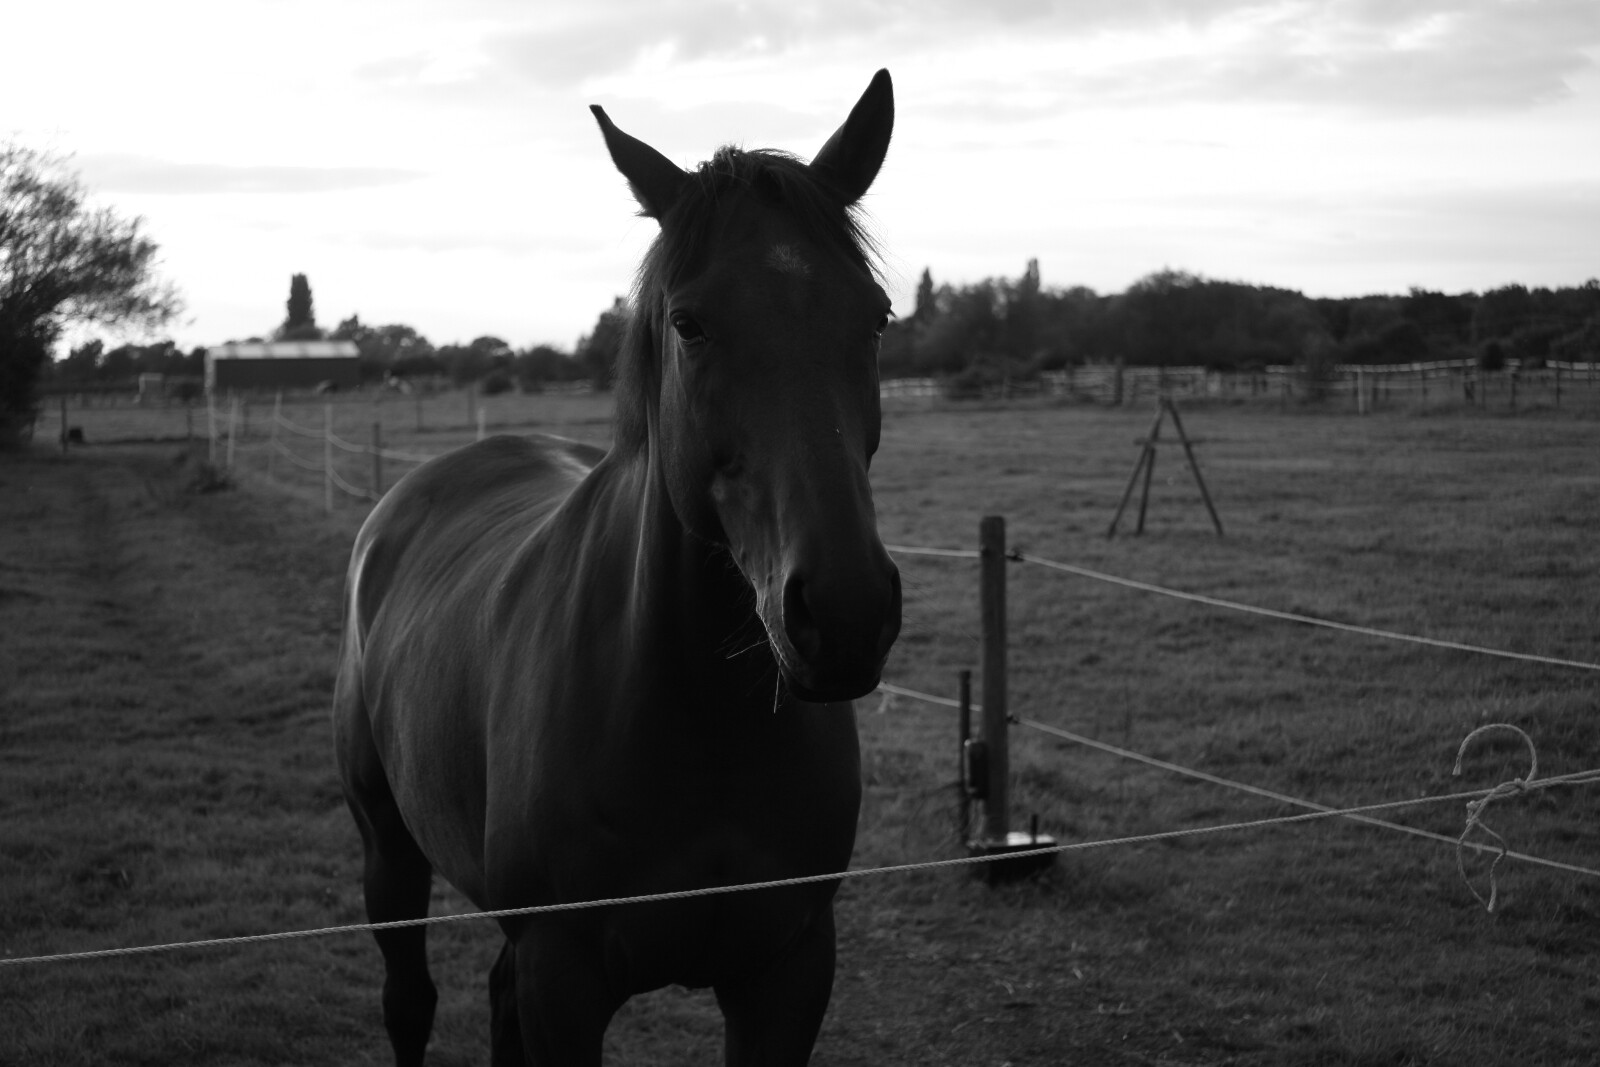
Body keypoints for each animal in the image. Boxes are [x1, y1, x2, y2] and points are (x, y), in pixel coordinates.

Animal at [333, 69, 901, 1066]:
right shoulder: (566, 977)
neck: (699, 724)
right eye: (690, 324)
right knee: (410, 1000)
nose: (845, 612)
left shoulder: (788, 971)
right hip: (389, 853)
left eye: (874, 317)